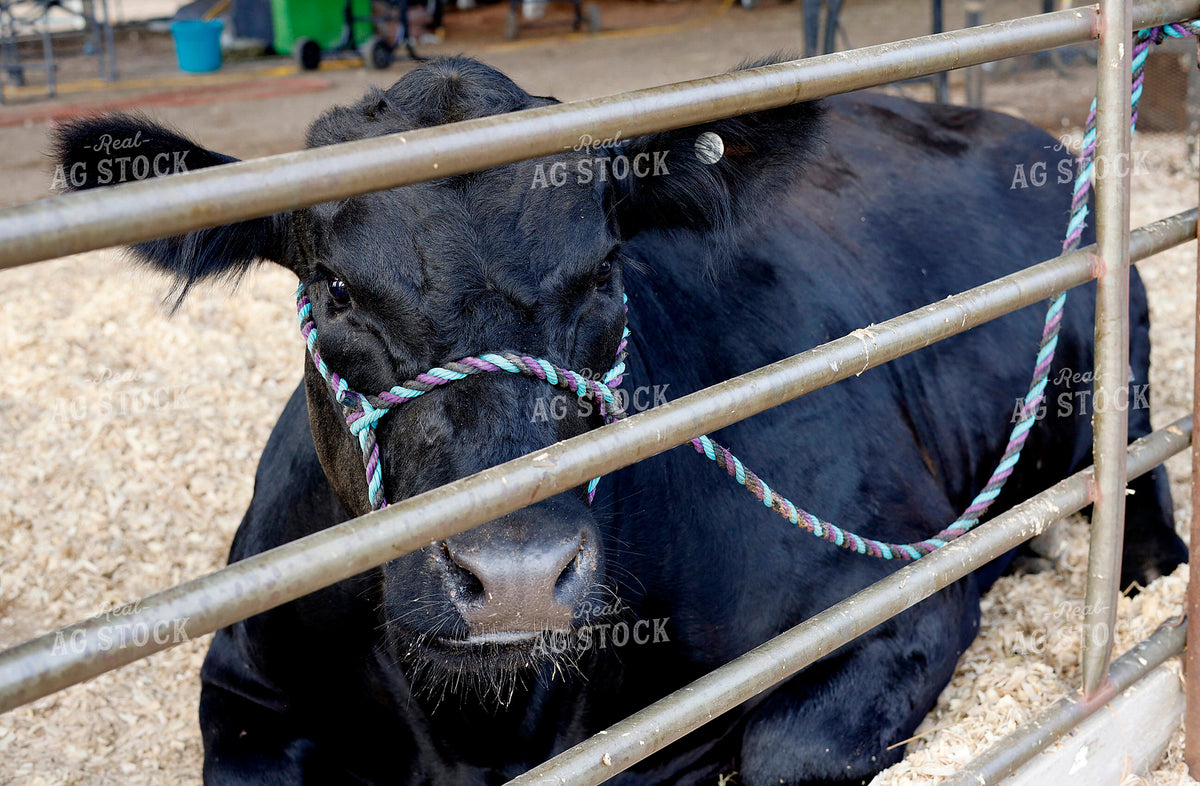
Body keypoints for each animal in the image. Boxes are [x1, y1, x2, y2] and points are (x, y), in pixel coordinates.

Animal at [53, 56, 1186, 786]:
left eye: (604, 270)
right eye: (332, 288)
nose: (515, 572)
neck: (481, 729)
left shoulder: (893, 590)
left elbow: (788, 753)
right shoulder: (245, 688)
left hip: (1112, 366)